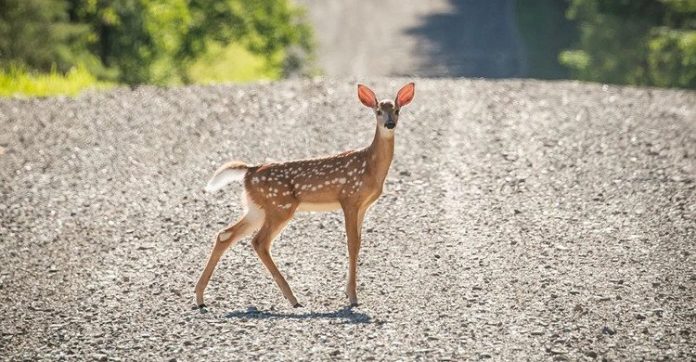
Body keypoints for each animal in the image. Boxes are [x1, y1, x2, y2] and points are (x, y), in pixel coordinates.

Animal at [193, 82, 416, 308]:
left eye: (397, 110)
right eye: (378, 111)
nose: (390, 124)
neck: (370, 166)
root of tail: (249, 171)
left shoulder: (363, 206)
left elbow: (359, 243)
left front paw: (348, 292)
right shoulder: (349, 198)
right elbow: (352, 244)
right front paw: (353, 297)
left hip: (257, 208)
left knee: (225, 234)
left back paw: (200, 297)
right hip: (280, 207)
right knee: (259, 241)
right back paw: (293, 298)